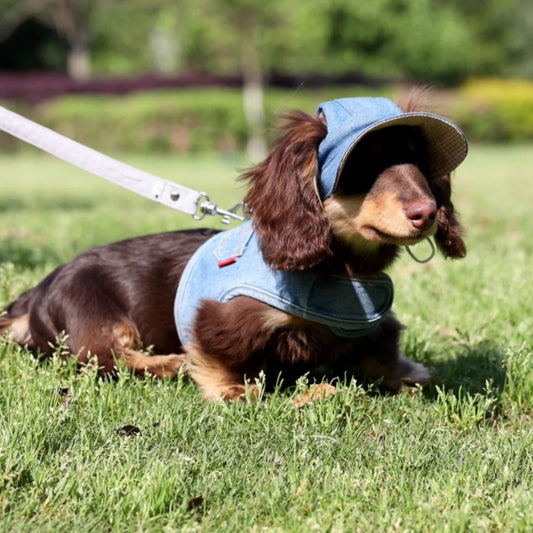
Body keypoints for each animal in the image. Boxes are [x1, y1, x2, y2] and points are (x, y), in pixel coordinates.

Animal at [0, 93, 466, 396]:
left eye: (421, 165)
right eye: (363, 166)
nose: (426, 212)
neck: (340, 274)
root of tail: (36, 292)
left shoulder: (371, 327)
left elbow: (389, 359)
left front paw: (406, 373)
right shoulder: (218, 320)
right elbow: (232, 371)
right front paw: (241, 389)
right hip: (95, 316)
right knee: (100, 359)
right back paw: (169, 364)